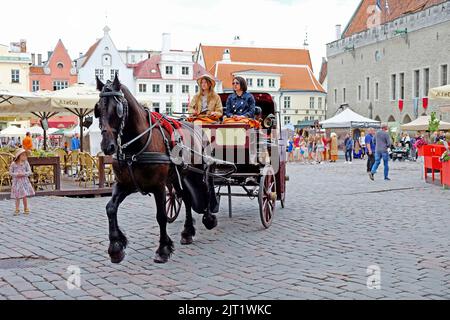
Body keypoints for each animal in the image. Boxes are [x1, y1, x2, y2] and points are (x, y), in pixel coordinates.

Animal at [96, 75, 219, 264]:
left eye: (117, 109)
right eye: (98, 109)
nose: (107, 146)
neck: (135, 147)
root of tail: (198, 129)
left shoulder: (158, 186)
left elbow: (161, 216)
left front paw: (163, 249)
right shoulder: (124, 184)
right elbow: (110, 208)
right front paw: (116, 247)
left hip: (199, 172)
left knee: (206, 190)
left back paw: (209, 218)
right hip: (178, 178)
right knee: (187, 198)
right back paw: (187, 232)